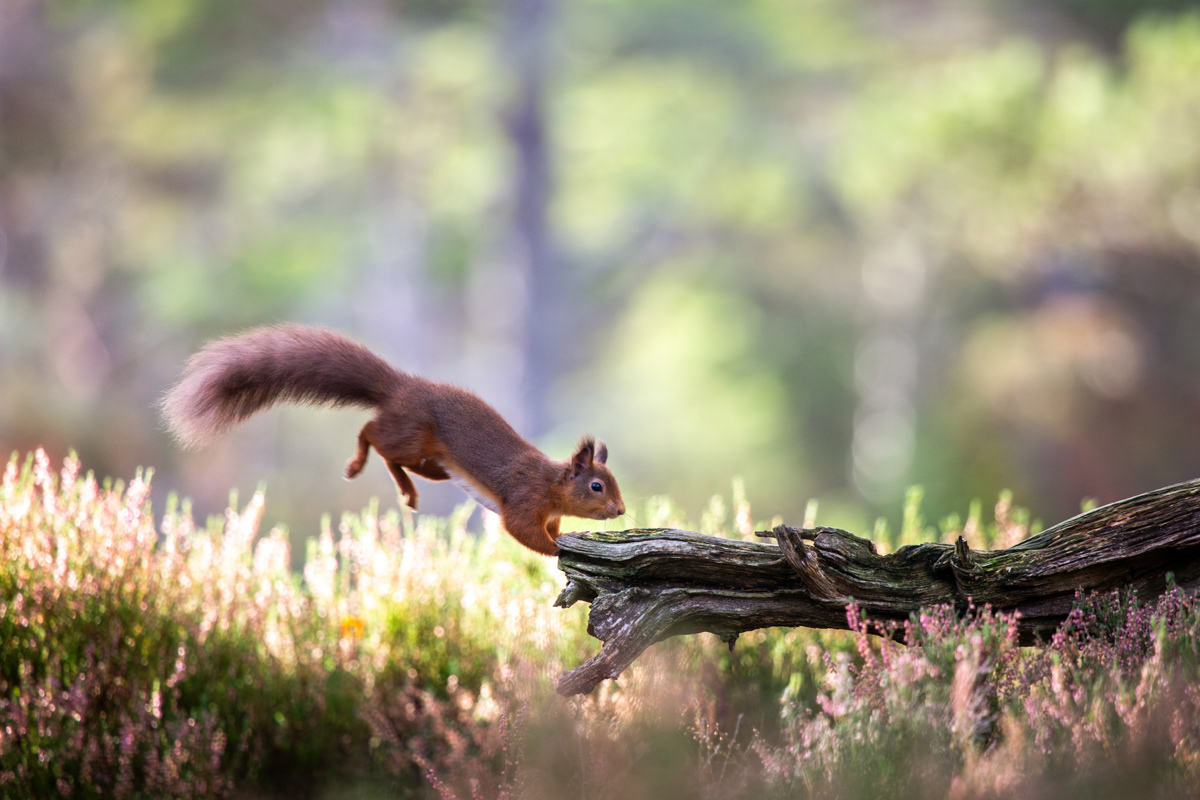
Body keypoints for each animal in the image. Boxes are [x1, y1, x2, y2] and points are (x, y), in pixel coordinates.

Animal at [162, 324, 625, 556]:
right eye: (596, 486)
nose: (620, 510)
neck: (551, 484)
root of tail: (401, 387)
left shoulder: (548, 511)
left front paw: (564, 538)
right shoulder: (524, 501)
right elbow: (524, 532)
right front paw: (556, 549)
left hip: (434, 465)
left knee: (394, 459)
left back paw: (407, 491)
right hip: (411, 435)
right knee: (371, 434)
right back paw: (359, 465)